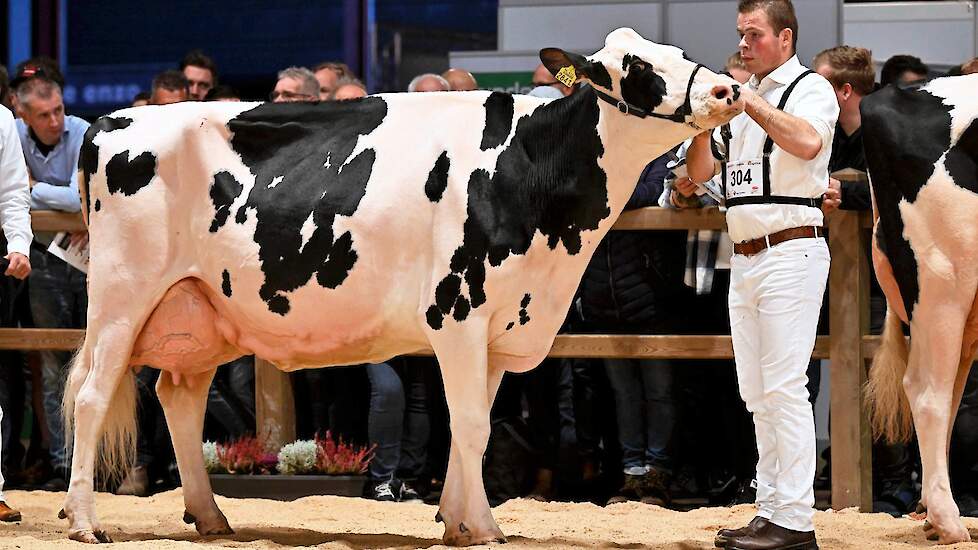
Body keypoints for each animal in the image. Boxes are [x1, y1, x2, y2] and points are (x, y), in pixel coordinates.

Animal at [63, 28, 740, 544]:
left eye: (679, 51)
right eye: (638, 67)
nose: (727, 88)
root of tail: (111, 120)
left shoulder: (501, 329)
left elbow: (474, 425)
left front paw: (455, 520)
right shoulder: (458, 313)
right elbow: (472, 426)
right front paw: (485, 527)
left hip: (200, 308)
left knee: (179, 399)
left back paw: (210, 516)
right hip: (122, 297)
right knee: (93, 396)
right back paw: (85, 522)